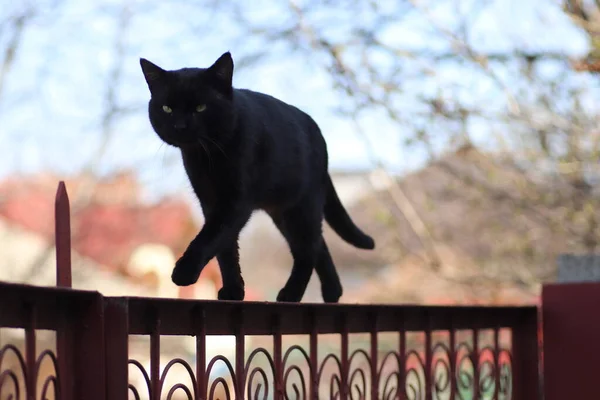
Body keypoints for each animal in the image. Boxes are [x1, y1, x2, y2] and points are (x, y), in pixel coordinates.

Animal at [141, 51, 376, 302]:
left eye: (200, 107)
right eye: (167, 108)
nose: (180, 126)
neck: (208, 156)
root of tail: (318, 133)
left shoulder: (235, 202)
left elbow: (210, 238)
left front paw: (184, 272)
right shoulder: (210, 201)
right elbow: (226, 248)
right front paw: (233, 291)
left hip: (302, 206)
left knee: (308, 250)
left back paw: (291, 294)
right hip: (284, 213)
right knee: (318, 244)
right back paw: (332, 291)